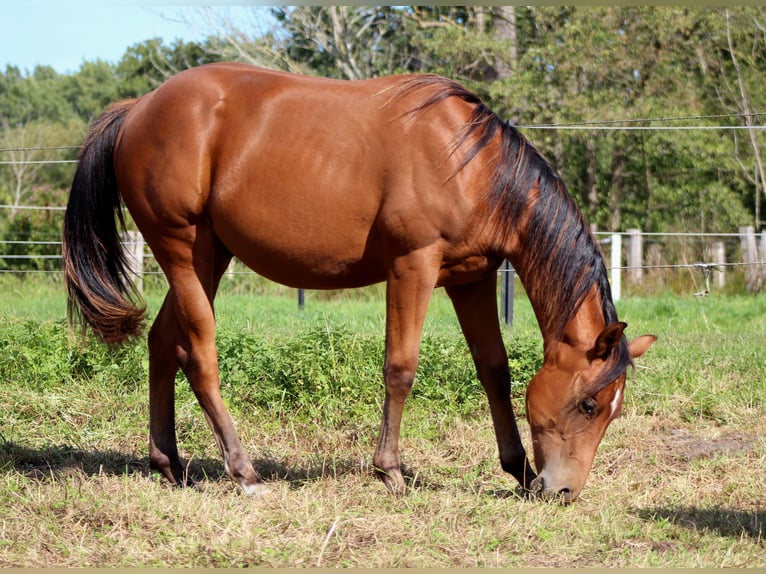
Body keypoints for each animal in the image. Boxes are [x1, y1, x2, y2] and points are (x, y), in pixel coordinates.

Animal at [62, 62, 655, 503]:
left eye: (612, 409)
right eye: (589, 405)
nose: (563, 491)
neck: (473, 165)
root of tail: (138, 108)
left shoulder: (473, 279)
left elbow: (494, 369)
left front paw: (518, 471)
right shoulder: (412, 268)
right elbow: (401, 368)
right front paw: (389, 470)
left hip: (210, 256)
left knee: (163, 342)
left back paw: (169, 462)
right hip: (183, 250)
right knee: (199, 354)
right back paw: (244, 471)